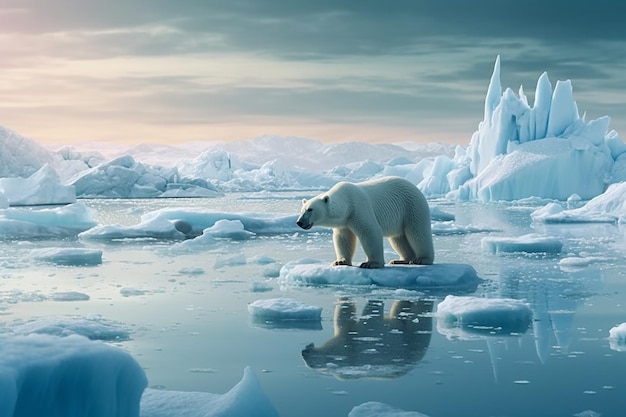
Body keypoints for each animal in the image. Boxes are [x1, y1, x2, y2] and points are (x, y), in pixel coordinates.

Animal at [294, 175, 432, 266]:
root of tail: (415, 187)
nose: (299, 222)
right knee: (398, 238)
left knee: (417, 232)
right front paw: (340, 261)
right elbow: (342, 238)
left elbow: (370, 232)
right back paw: (401, 259)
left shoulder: (359, 209)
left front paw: (371, 263)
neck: (347, 203)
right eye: (302, 210)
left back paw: (422, 259)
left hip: (412, 206)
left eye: (310, 209)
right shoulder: (344, 222)